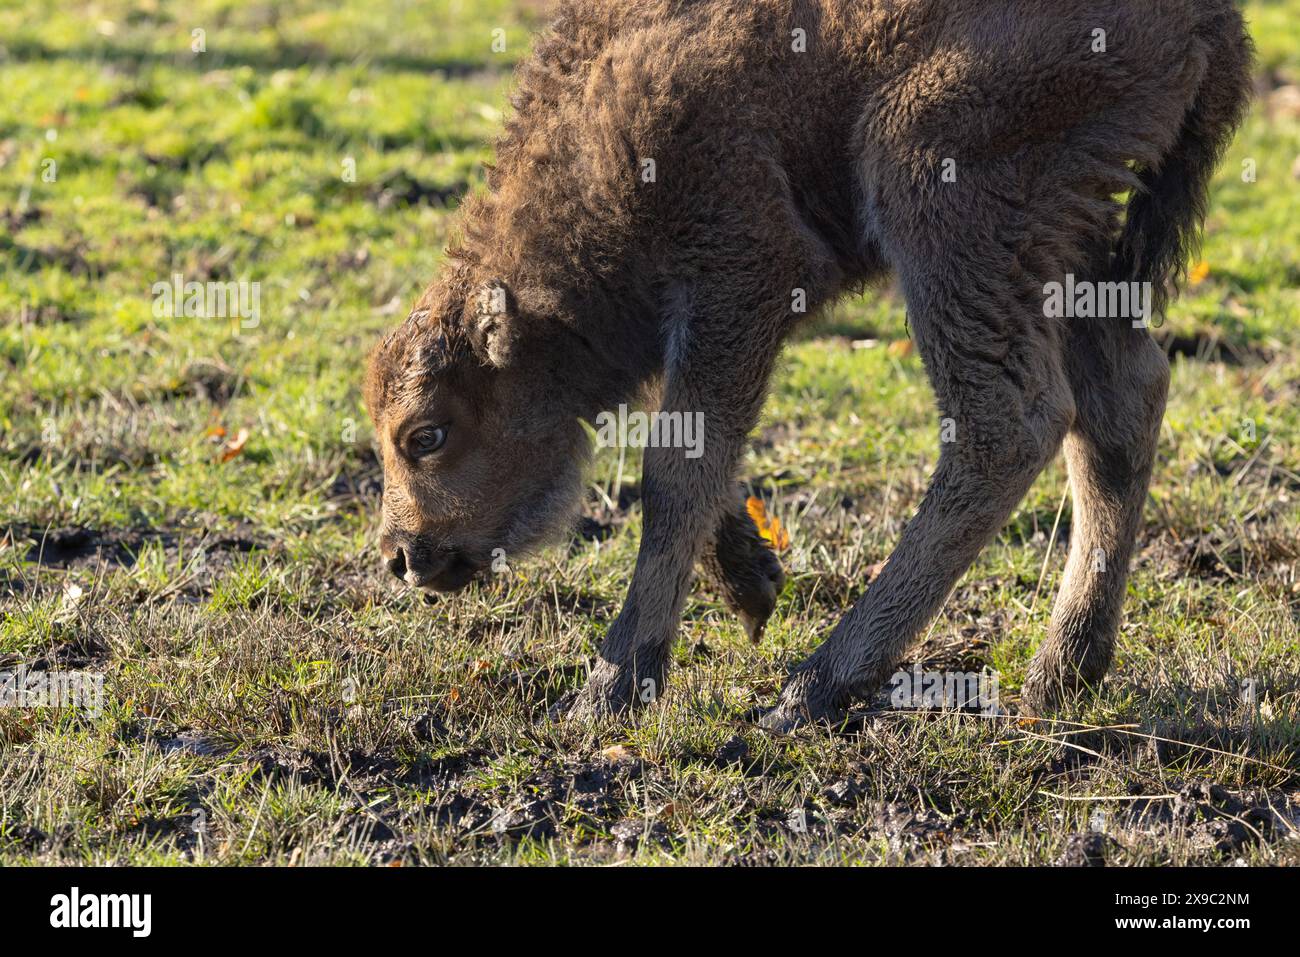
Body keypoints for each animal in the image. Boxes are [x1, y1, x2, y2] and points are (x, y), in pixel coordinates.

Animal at [364, 0, 1248, 722]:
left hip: (934, 181)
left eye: (426, 434)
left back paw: (817, 686)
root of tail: (1211, 18)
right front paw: (753, 584)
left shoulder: (739, 277)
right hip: (1075, 248)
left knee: (1009, 426)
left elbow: (675, 471)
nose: (402, 556)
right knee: (1121, 406)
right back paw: (1060, 674)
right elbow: (693, 454)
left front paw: (612, 686)